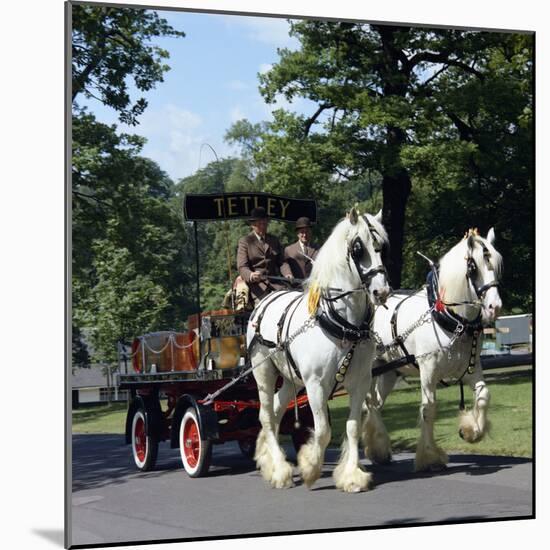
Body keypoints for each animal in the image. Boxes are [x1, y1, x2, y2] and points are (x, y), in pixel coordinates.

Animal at [248, 209, 390, 494]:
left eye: (381, 246)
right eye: (358, 248)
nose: (381, 291)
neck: (342, 322)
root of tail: (264, 301)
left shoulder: (360, 382)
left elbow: (353, 427)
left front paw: (352, 476)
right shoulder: (315, 385)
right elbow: (323, 430)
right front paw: (310, 467)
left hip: (290, 378)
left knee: (277, 410)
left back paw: (268, 459)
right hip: (264, 372)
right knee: (266, 415)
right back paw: (279, 470)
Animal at [366, 229, 504, 474]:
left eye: (497, 265)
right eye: (473, 267)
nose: (494, 307)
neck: (452, 320)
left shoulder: (471, 369)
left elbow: (483, 396)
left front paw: (471, 431)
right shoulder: (428, 372)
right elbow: (428, 410)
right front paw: (430, 457)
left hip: (389, 372)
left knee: (376, 404)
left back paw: (378, 450)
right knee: (367, 403)